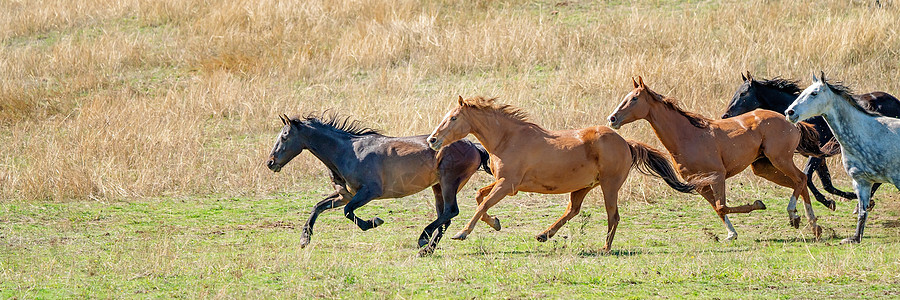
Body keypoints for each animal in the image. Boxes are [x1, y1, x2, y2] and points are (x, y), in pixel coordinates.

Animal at [266, 112, 492, 255]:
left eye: (284, 136)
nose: (270, 163)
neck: (348, 152)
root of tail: (473, 146)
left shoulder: (369, 192)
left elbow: (347, 212)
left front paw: (374, 221)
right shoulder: (344, 195)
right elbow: (318, 207)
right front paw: (305, 239)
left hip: (448, 182)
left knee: (451, 212)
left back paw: (423, 239)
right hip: (438, 187)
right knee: (445, 216)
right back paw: (427, 249)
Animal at [426, 96, 700, 251]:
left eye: (453, 118)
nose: (433, 139)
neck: (507, 138)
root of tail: (626, 143)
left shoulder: (507, 185)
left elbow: (482, 204)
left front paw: (462, 233)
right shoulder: (503, 183)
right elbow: (480, 198)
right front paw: (495, 223)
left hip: (609, 185)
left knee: (613, 216)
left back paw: (604, 248)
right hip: (583, 186)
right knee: (573, 210)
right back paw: (543, 235)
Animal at [604, 77, 824, 241]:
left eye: (634, 98)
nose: (612, 118)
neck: (687, 135)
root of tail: (792, 122)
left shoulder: (717, 176)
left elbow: (721, 206)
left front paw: (758, 204)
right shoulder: (699, 183)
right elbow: (718, 208)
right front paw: (731, 234)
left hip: (780, 159)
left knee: (801, 179)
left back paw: (795, 214)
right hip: (764, 167)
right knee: (799, 182)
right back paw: (811, 225)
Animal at [720, 71, 900, 210]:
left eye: (743, 93)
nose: (725, 116)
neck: (811, 117)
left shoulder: (818, 154)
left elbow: (808, 176)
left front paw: (837, 200)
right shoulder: (818, 157)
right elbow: (826, 182)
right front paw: (833, 201)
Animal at [788, 72, 900, 244]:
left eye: (814, 93)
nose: (790, 112)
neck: (870, 134)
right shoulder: (861, 182)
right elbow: (862, 212)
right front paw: (854, 238)